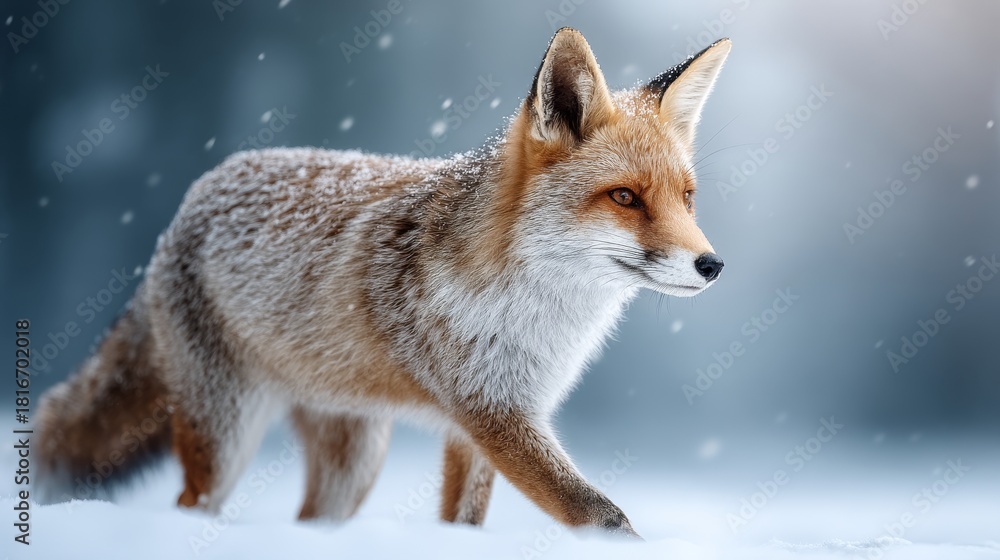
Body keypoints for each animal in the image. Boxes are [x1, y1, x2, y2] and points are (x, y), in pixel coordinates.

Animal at [36, 28, 730, 537]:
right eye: (625, 198)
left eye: (687, 198)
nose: (712, 265)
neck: (535, 314)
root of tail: (194, 196)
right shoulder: (491, 410)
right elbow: (601, 514)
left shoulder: (485, 423)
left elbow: (464, 520)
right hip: (225, 437)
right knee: (190, 503)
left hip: (353, 463)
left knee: (312, 520)